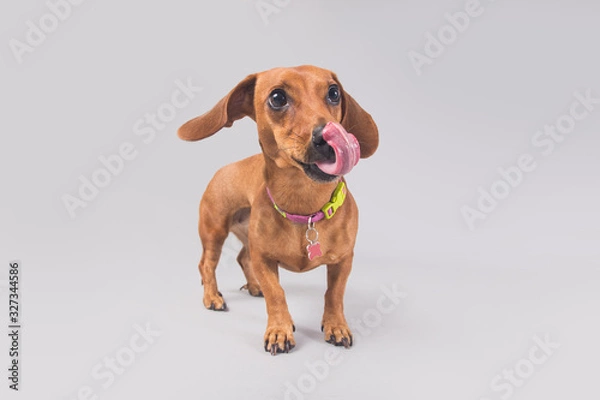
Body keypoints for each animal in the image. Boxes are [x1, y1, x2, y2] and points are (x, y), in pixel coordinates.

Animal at [176, 66, 378, 356]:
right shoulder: (264, 259)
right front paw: (279, 330)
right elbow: (276, 294)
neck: (305, 209)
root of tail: (225, 168)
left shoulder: (343, 260)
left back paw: (253, 286)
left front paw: (336, 326)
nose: (329, 137)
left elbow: (334, 294)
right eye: (277, 98)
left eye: (334, 93)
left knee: (242, 258)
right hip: (214, 232)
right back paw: (212, 297)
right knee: (206, 265)